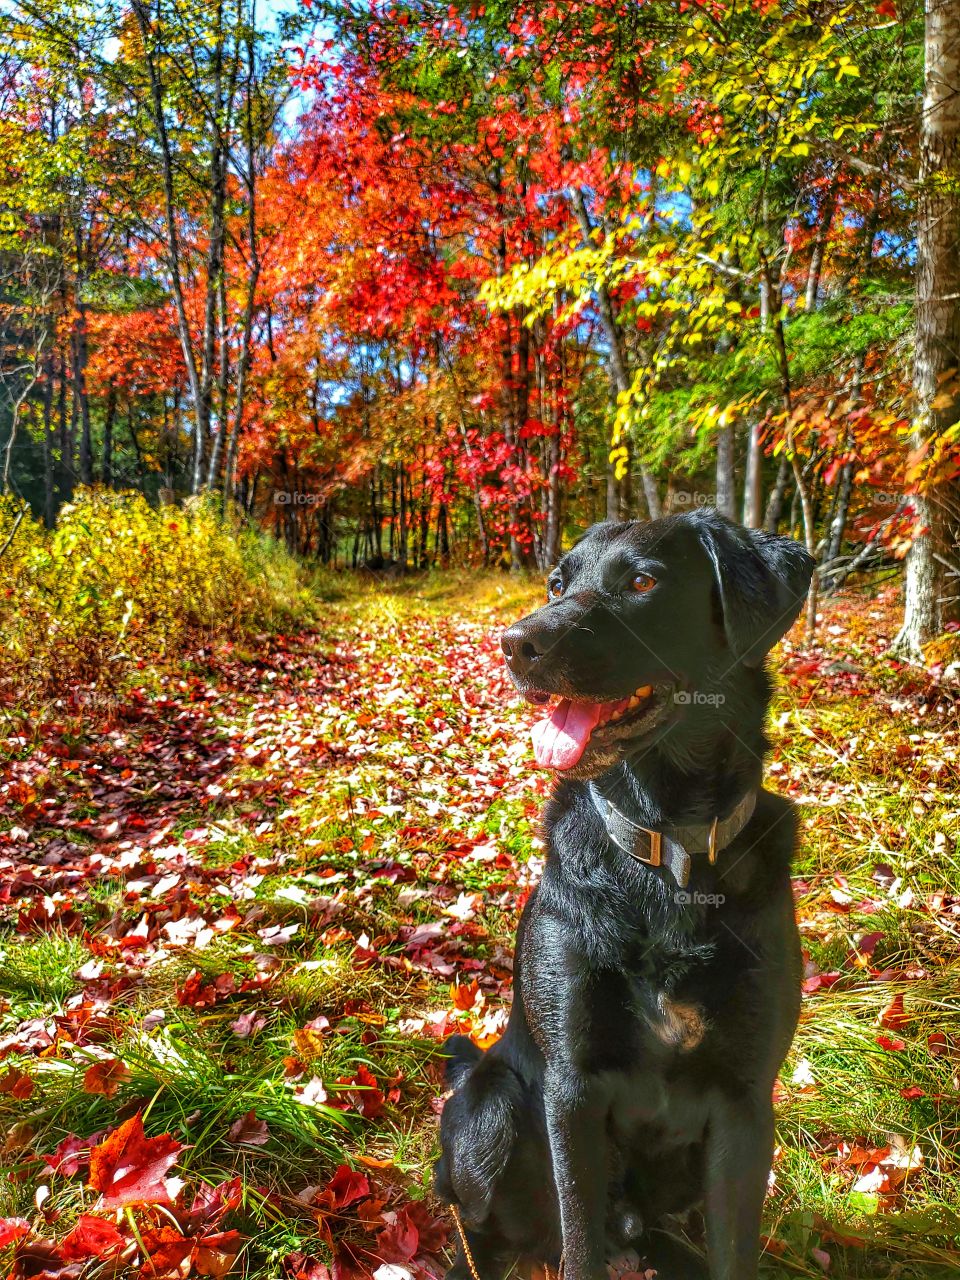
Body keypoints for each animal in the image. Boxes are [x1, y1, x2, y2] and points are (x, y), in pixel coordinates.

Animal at [435, 509, 819, 1280]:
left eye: (642, 582)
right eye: (557, 584)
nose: (516, 643)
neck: (666, 850)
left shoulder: (745, 1106)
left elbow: (734, 1250)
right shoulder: (574, 1091)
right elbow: (578, 1245)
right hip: (491, 1111)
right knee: (478, 1226)